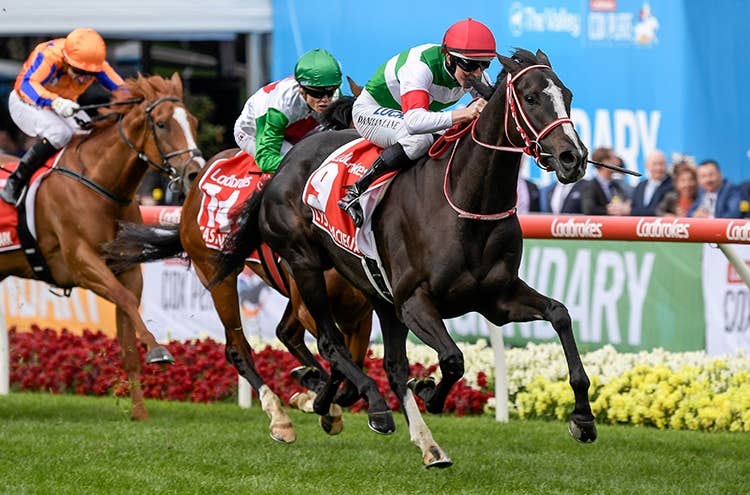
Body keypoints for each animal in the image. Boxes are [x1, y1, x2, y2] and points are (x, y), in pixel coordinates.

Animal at [0, 73, 204, 420]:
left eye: (192, 121)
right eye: (162, 124)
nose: (194, 172)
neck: (100, 184)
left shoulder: (126, 268)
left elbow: (128, 327)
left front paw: (140, 412)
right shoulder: (81, 263)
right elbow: (124, 299)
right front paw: (158, 349)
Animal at [104, 95, 374, 444]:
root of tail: (193, 187)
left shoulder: (360, 312)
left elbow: (349, 369)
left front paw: (322, 398)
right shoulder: (311, 305)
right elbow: (337, 356)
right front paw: (318, 398)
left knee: (285, 334)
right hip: (217, 276)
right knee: (238, 348)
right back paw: (280, 417)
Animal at [216, 48, 600, 466]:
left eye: (568, 96)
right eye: (530, 98)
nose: (573, 157)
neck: (467, 204)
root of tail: (283, 165)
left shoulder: (496, 299)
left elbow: (559, 315)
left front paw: (583, 418)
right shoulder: (415, 301)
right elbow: (452, 358)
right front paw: (429, 390)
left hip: (377, 293)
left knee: (390, 364)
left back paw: (398, 431)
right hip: (306, 265)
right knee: (331, 342)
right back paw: (370, 405)